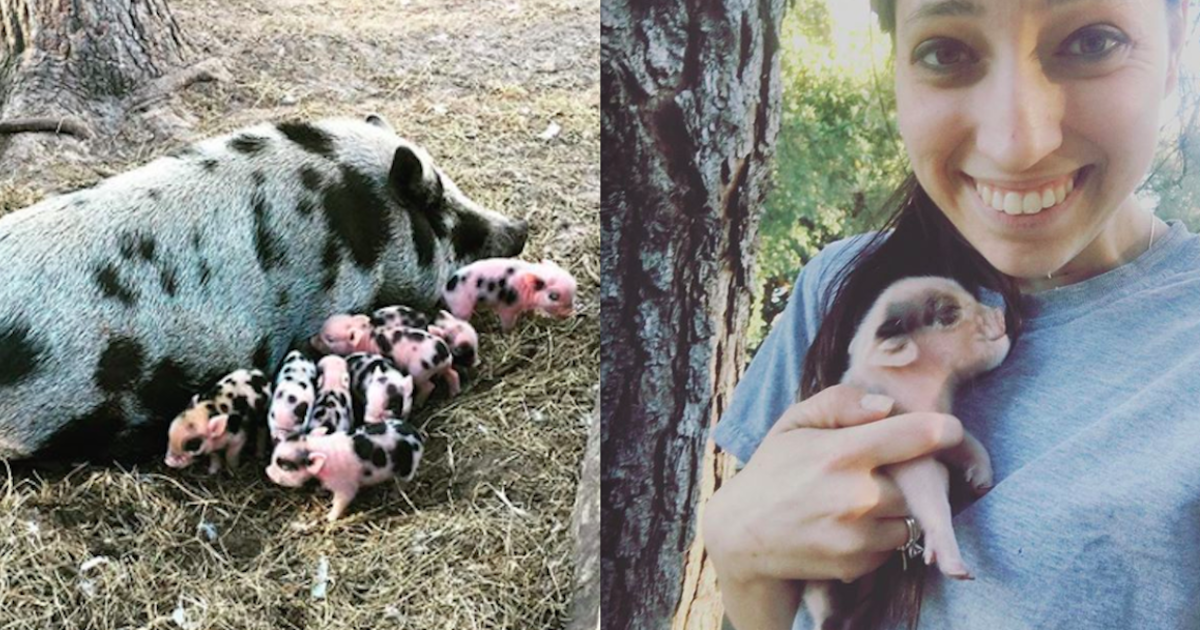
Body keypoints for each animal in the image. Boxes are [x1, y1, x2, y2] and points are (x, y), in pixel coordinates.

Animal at [265, 418, 425, 521]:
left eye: (285, 466)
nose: (267, 472)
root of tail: (417, 436)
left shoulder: (345, 486)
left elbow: (341, 500)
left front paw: (329, 518)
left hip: (407, 470)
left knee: (402, 483)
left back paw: (394, 495)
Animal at [442, 258, 577, 331]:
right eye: (553, 296)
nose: (569, 313)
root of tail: (447, 287)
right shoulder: (507, 307)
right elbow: (507, 322)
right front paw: (510, 332)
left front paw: (531, 317)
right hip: (461, 306)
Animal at [802, 276, 1011, 629]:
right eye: (949, 313)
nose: (1001, 313)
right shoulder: (910, 457)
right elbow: (931, 496)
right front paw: (958, 570)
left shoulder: (943, 426)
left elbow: (969, 443)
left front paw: (982, 481)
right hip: (825, 586)